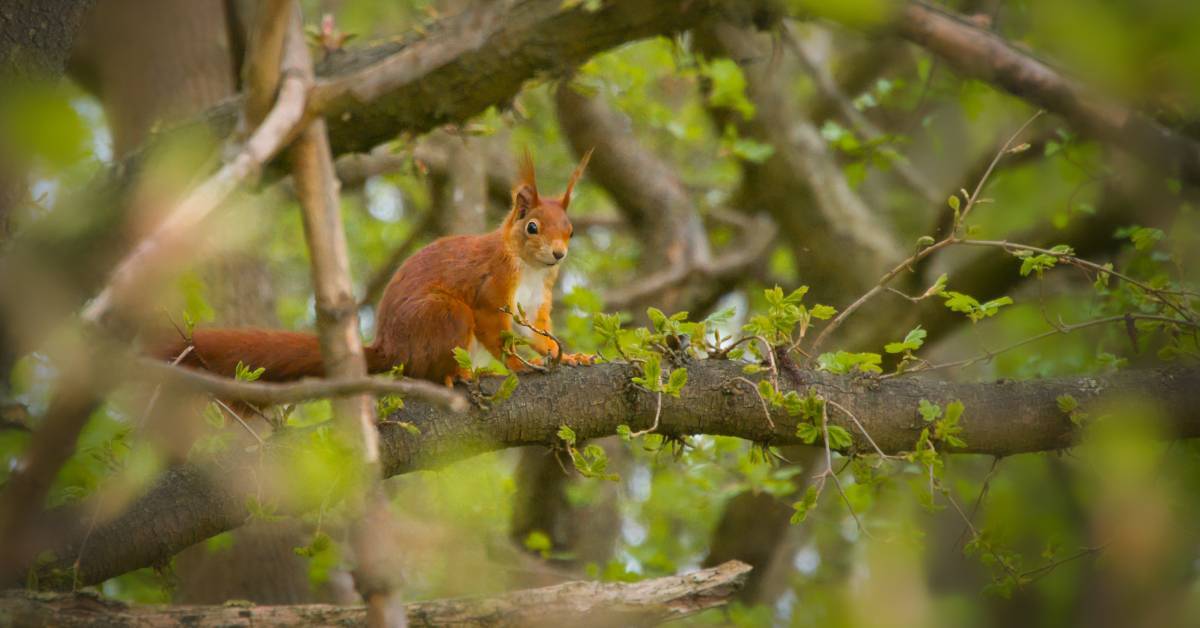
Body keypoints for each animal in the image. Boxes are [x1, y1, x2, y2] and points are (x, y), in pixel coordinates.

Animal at [157, 149, 594, 386]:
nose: (559, 254)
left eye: (571, 231)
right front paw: (521, 366)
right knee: (432, 364)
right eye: (532, 226)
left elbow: (537, 333)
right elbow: (497, 332)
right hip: (444, 315)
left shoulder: (536, 301)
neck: (529, 268)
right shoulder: (492, 289)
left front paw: (569, 356)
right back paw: (458, 375)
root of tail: (391, 349)